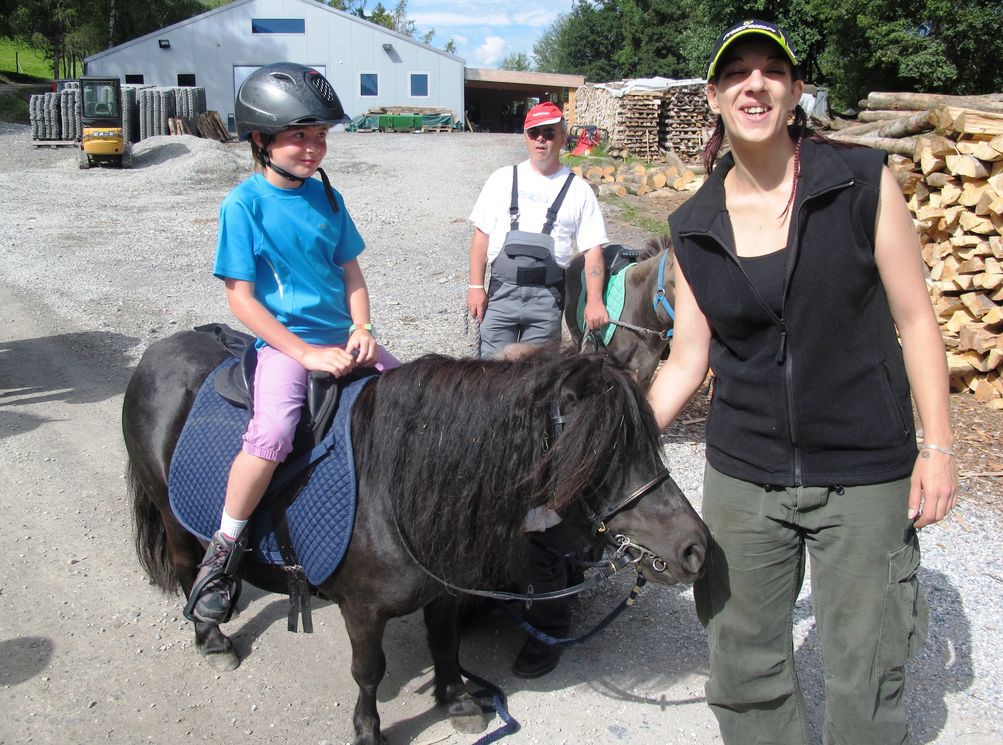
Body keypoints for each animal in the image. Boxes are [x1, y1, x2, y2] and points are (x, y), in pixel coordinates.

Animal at [123, 332, 706, 745]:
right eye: (602, 451)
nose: (695, 548)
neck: (398, 486)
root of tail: (157, 353)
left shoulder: (444, 591)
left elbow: (445, 643)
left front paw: (458, 702)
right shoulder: (361, 610)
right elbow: (368, 671)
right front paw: (368, 731)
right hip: (172, 515)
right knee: (188, 567)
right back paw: (211, 633)